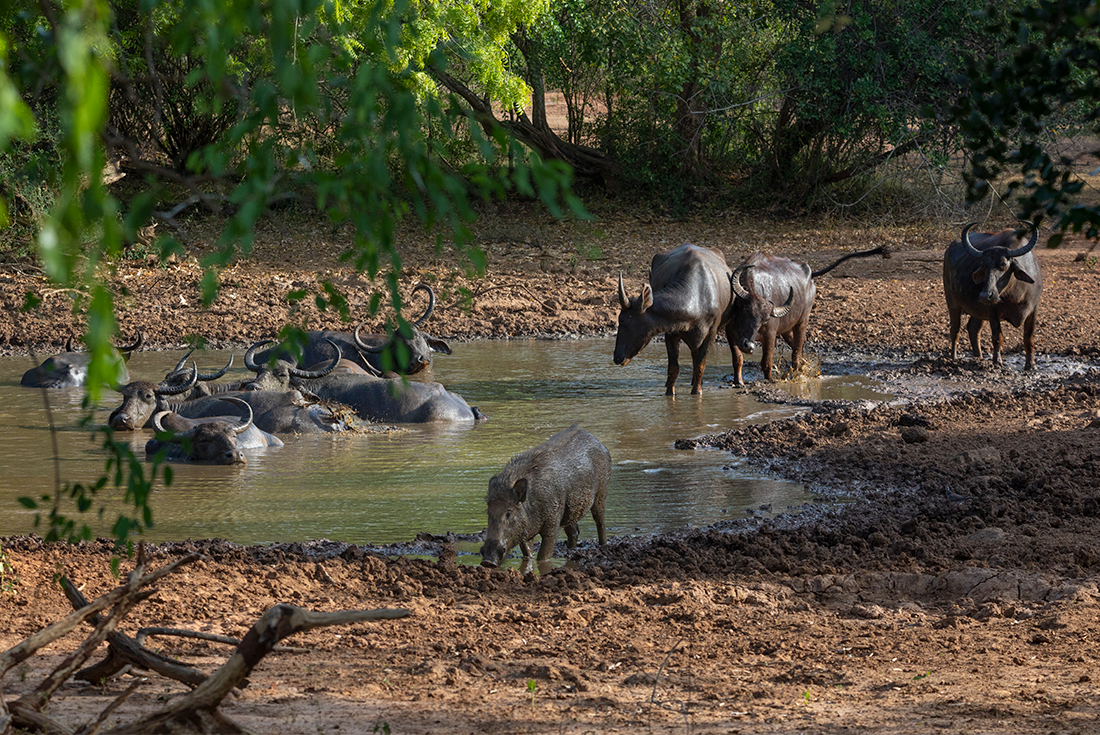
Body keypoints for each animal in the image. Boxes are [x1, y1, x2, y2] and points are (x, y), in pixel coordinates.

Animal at [479, 424, 611, 567]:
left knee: (600, 522)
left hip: (601, 492)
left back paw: (603, 545)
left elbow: (543, 555)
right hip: (572, 510)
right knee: (574, 531)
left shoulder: (553, 522)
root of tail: (599, 443)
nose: (487, 561)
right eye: (488, 512)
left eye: (508, 513)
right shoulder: (525, 532)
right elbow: (528, 553)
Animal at [616, 242, 734, 396]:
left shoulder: (711, 333)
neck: (698, 298)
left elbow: (700, 364)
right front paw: (669, 392)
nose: (616, 357)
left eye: (623, 320)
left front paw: (697, 391)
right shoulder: (671, 333)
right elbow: (673, 368)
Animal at [941, 217, 1042, 367]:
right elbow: (997, 336)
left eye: (1003, 264)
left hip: (978, 310)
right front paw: (997, 361)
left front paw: (1031, 365)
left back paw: (979, 357)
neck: (1016, 295)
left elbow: (1029, 338)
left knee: (973, 328)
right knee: (955, 329)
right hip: (952, 301)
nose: (985, 296)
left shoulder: (1033, 309)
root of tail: (949, 249)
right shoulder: (993, 310)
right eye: (983, 265)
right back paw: (953, 357)